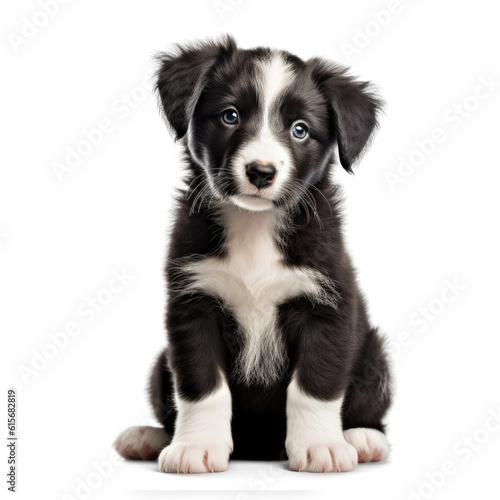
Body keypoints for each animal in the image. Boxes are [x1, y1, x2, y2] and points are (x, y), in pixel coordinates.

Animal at [115, 34, 392, 472]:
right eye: (230, 116)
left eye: (300, 130)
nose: (261, 172)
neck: (255, 225)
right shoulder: (193, 303)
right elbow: (200, 385)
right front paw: (195, 446)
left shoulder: (326, 304)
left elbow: (316, 382)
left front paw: (320, 446)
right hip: (161, 364)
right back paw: (148, 436)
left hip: (373, 355)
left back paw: (363, 438)